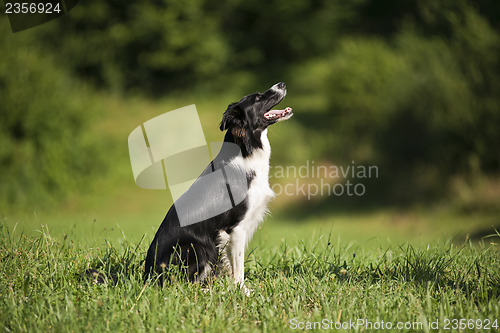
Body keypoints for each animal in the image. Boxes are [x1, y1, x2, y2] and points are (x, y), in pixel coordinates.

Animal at [144, 81, 292, 292]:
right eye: (257, 97)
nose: (282, 83)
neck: (246, 153)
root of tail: (147, 277)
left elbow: (230, 264)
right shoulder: (236, 228)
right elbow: (238, 267)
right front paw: (241, 291)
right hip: (195, 248)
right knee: (183, 286)